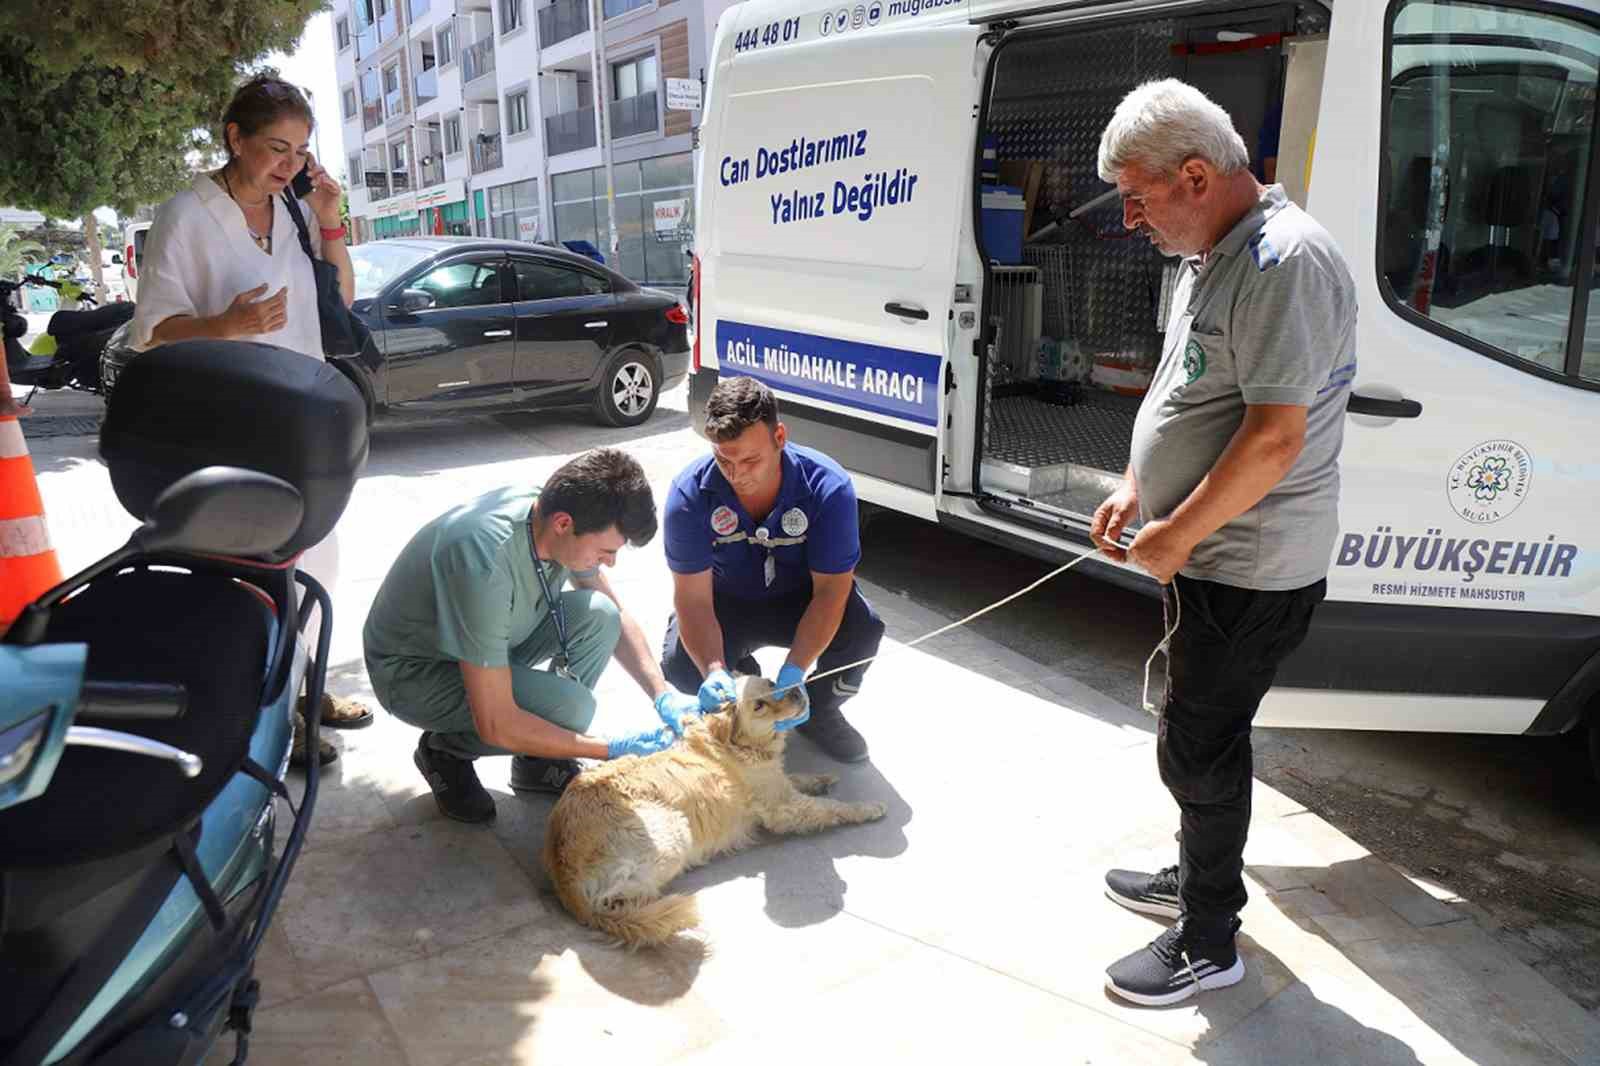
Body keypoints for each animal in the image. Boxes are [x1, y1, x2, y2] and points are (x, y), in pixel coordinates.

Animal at [544, 675, 883, 941]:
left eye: (772, 683)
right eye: (758, 706)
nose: (798, 693)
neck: (734, 743)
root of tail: (564, 874)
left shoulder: (777, 783)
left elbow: (797, 778)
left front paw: (822, 778)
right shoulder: (783, 808)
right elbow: (830, 807)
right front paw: (867, 807)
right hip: (673, 832)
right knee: (614, 898)